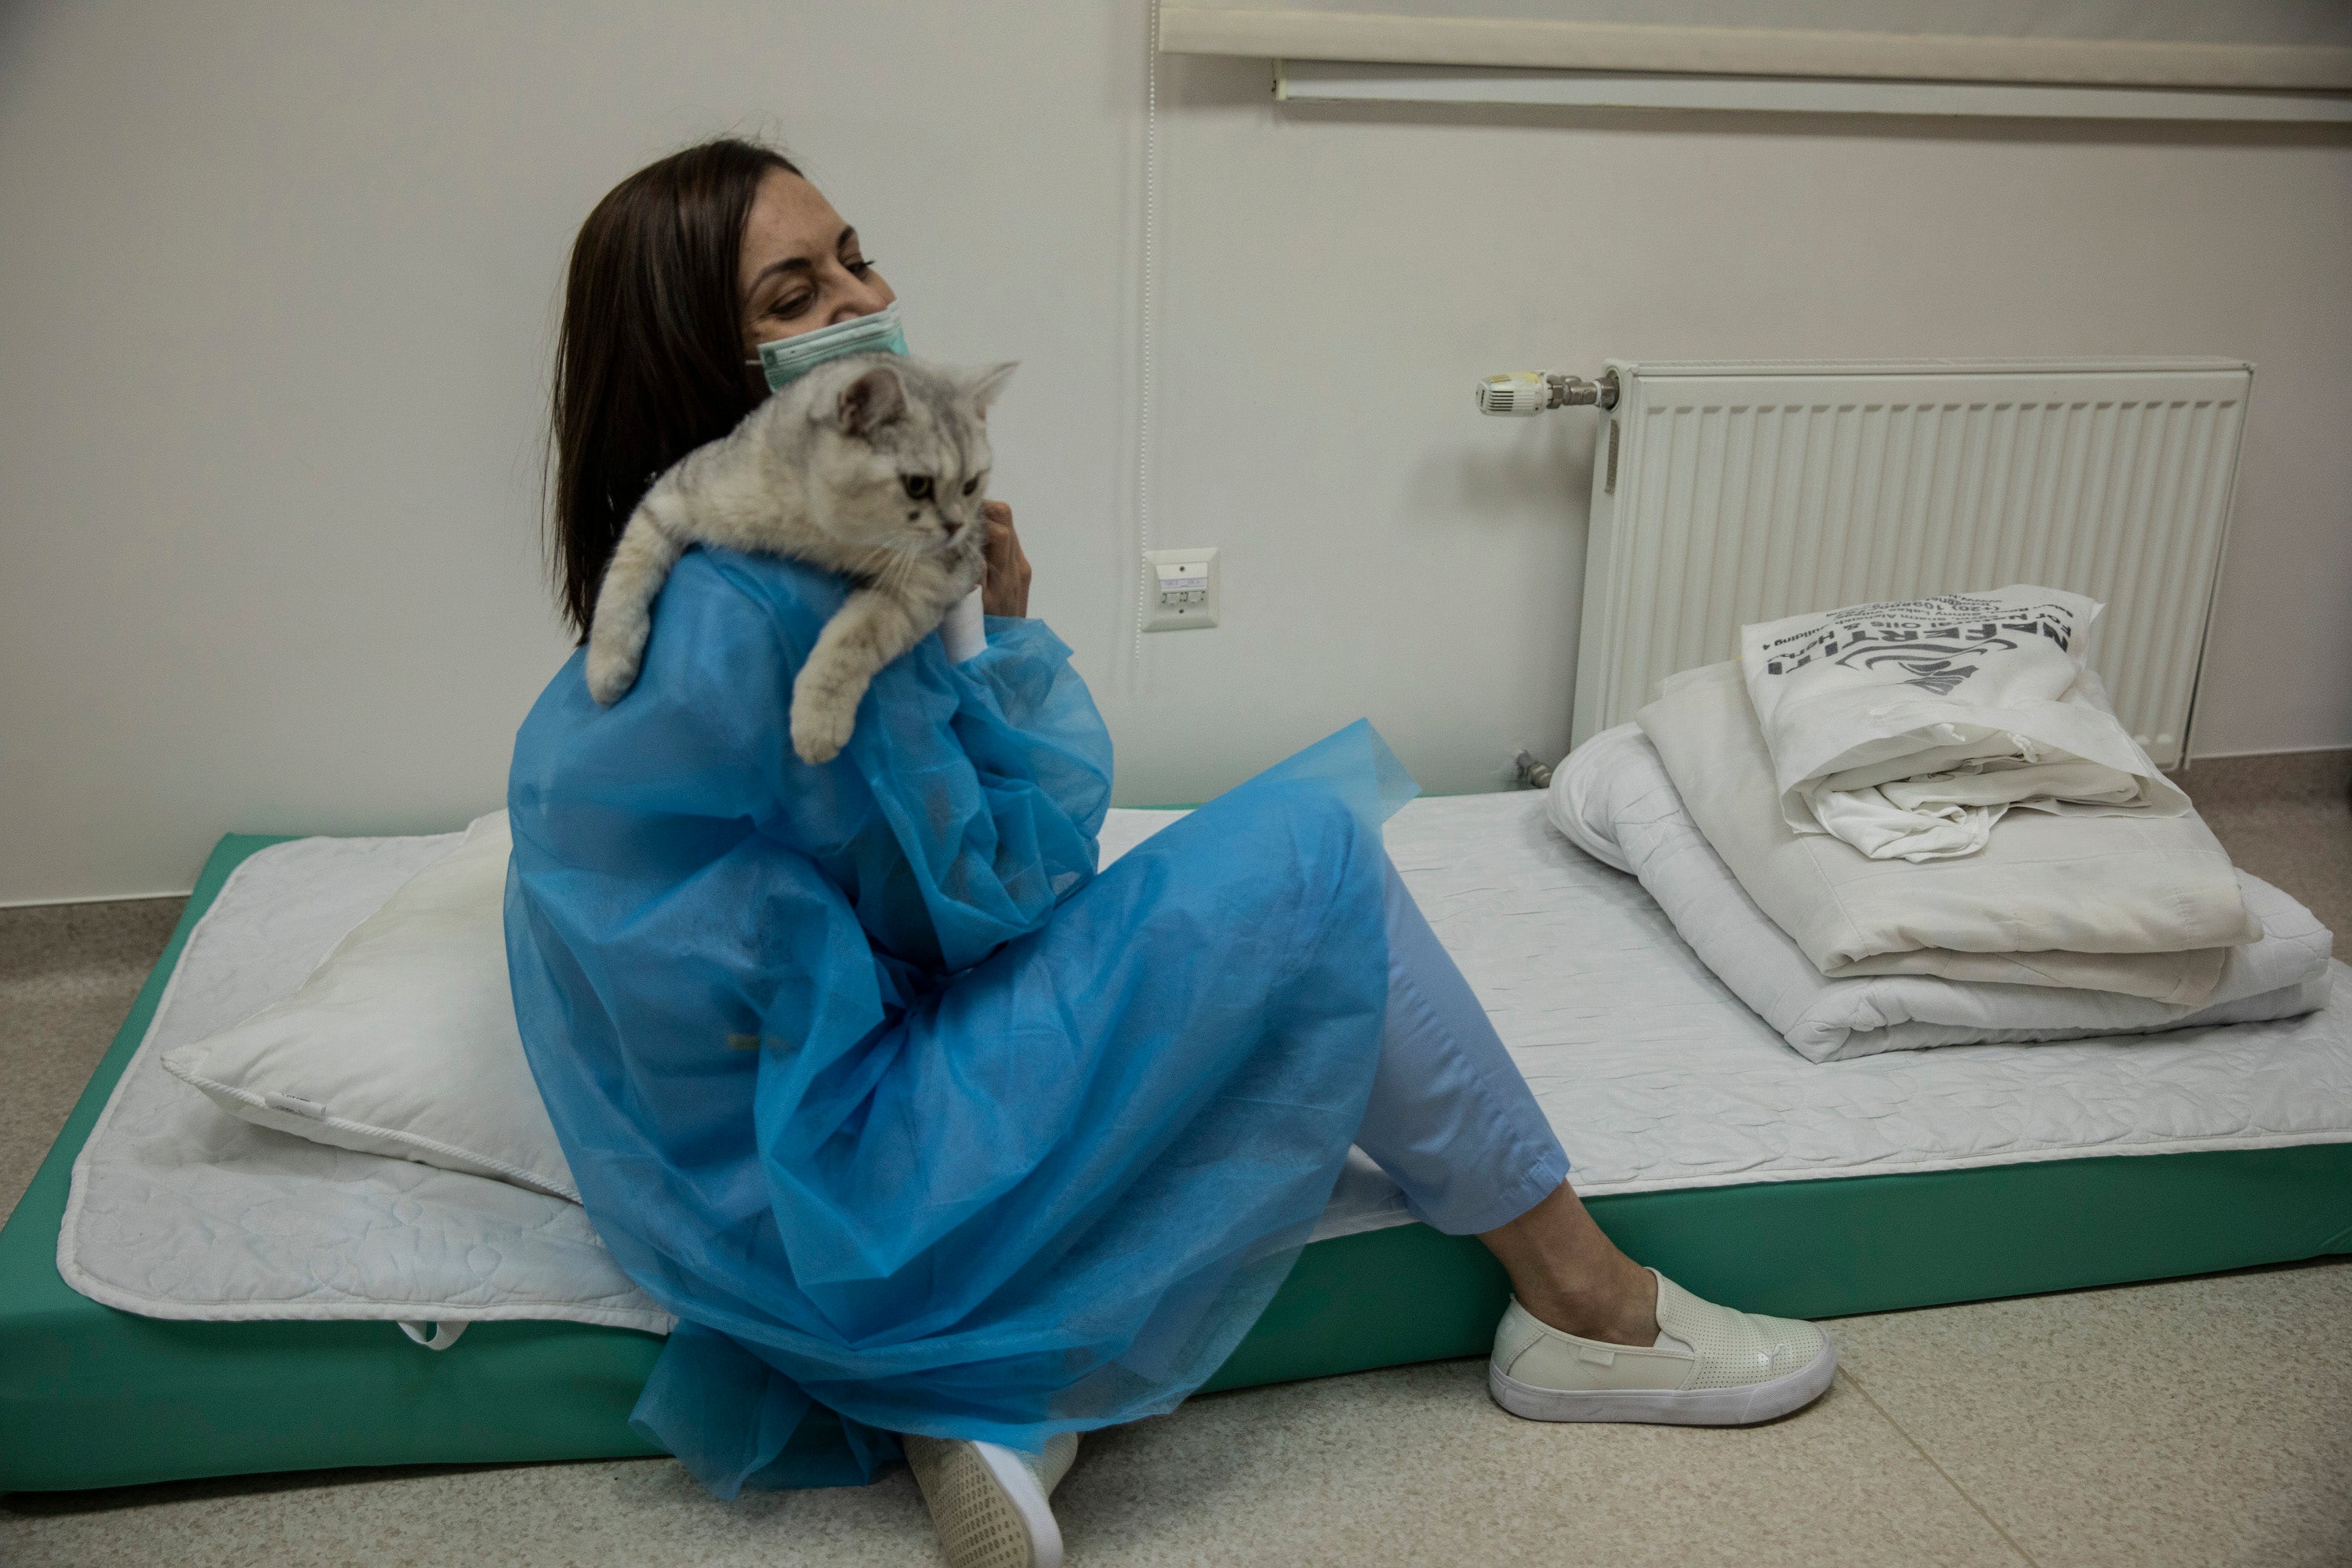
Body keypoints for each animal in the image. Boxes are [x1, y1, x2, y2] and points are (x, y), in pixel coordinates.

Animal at [586, 361, 1011, 766]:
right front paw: (607, 667)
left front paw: (817, 723)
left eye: (971, 485)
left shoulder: (929, 581)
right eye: (918, 485)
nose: (957, 526)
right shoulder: (673, 495)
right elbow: (624, 574)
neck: (825, 530)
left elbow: (851, 640)